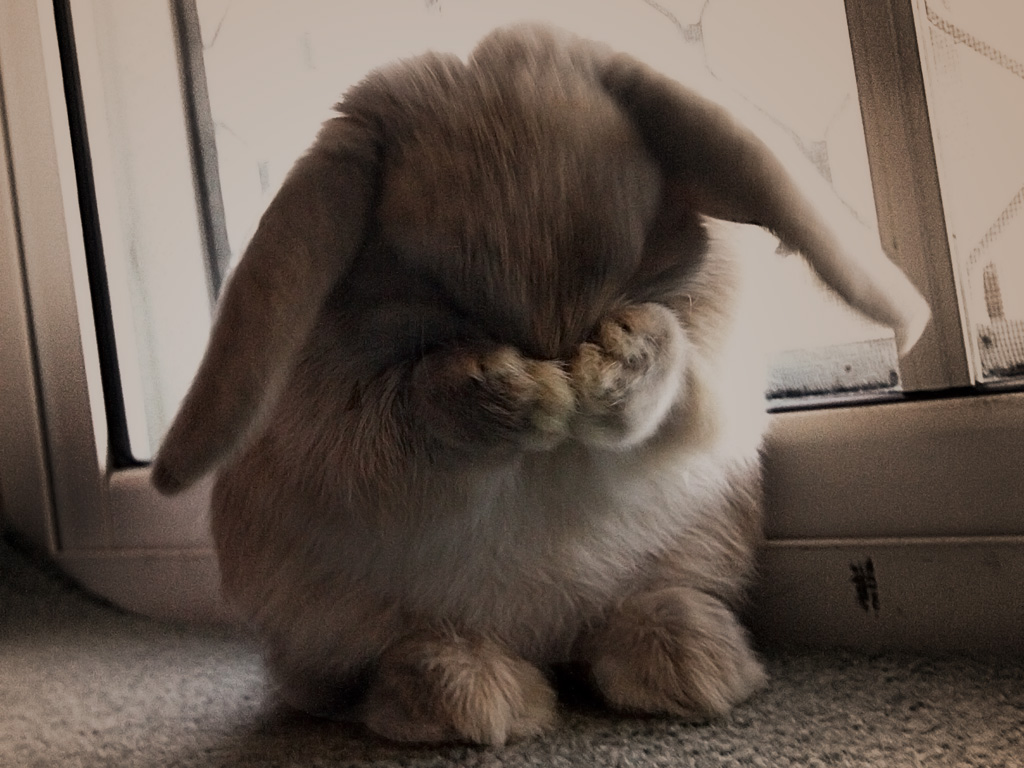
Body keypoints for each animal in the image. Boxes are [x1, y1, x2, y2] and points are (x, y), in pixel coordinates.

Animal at [152, 24, 930, 745]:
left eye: (640, 256)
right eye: (430, 286)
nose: (558, 369)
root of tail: (546, 640)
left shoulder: (714, 358)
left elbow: (679, 367)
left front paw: (615, 364)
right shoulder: (339, 426)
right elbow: (410, 411)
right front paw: (503, 390)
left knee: (631, 621)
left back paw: (686, 662)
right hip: (328, 622)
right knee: (360, 674)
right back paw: (469, 696)